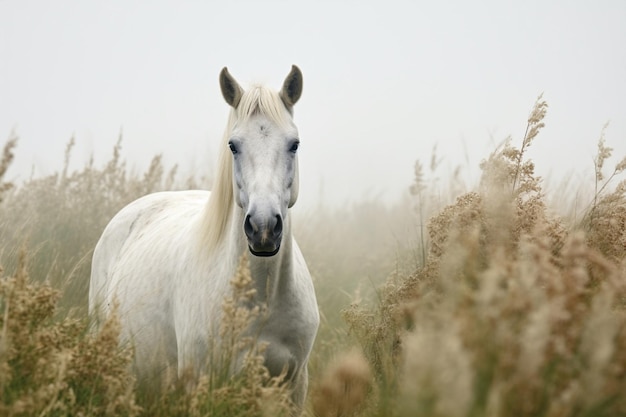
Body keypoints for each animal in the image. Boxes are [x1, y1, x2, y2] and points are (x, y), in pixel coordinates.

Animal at [89, 66, 316, 410]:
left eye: (294, 144)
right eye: (233, 145)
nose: (263, 227)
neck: (261, 301)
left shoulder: (293, 385)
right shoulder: (200, 382)